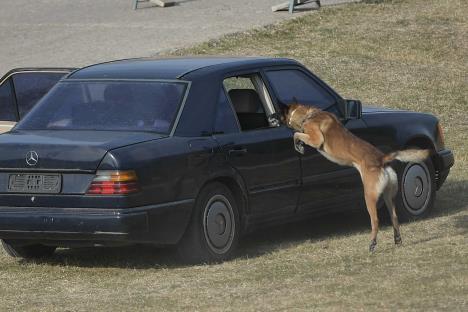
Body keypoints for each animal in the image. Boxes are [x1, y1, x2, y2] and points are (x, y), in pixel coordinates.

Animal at [284, 103, 430, 252]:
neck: (310, 114)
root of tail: (381, 159)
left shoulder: (316, 139)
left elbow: (297, 134)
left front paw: (298, 145)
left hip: (369, 195)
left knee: (375, 220)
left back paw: (372, 244)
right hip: (388, 196)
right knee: (394, 216)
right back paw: (397, 239)